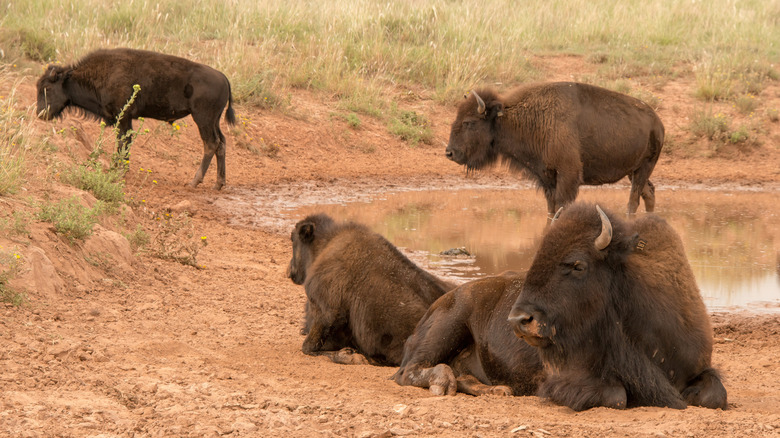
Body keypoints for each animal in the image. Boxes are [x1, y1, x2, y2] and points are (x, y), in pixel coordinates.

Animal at [36, 48, 236, 190]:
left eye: (47, 88)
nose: (40, 113)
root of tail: (224, 78)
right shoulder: (124, 120)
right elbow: (124, 142)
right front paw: (118, 167)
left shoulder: (123, 117)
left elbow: (123, 142)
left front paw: (119, 170)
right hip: (213, 121)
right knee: (221, 143)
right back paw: (218, 184)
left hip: (203, 119)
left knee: (210, 144)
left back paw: (194, 182)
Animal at [288, 213, 455, 366]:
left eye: (293, 239)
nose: (290, 271)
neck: (326, 242)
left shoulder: (325, 308)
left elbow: (309, 347)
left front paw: (350, 355)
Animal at [445, 82, 664, 216]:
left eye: (469, 122)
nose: (449, 152)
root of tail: (657, 121)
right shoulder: (546, 176)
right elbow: (551, 208)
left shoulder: (568, 175)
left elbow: (561, 206)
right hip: (633, 171)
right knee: (649, 192)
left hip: (644, 167)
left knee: (633, 201)